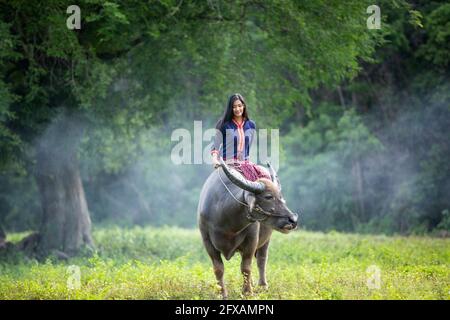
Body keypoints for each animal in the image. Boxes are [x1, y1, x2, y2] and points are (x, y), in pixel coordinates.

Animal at [198, 158, 298, 298]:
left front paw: (247, 292)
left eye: (280, 196)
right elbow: (218, 268)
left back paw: (262, 286)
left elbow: (246, 267)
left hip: (266, 239)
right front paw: (222, 293)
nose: (293, 220)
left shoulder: (251, 240)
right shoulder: (207, 241)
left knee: (261, 259)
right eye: (268, 196)